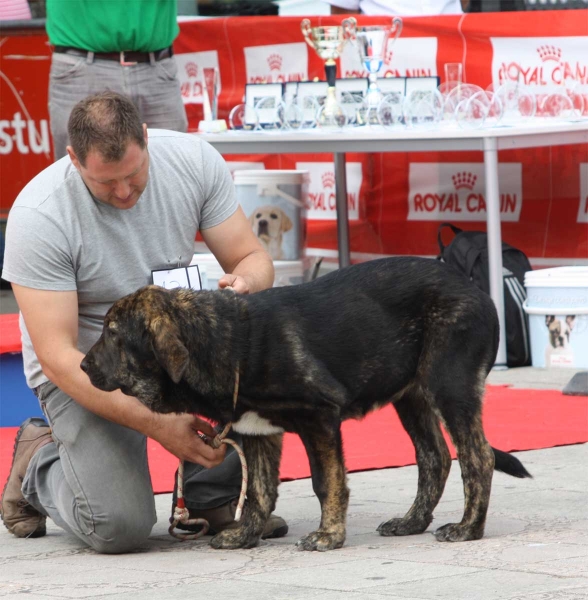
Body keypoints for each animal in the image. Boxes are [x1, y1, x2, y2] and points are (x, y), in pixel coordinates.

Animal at [81, 255, 528, 552]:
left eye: (114, 333)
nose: (82, 365)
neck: (228, 343)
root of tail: (473, 286)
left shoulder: (320, 420)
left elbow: (325, 482)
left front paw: (329, 535)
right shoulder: (256, 433)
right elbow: (258, 491)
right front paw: (246, 534)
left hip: (449, 387)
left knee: (477, 457)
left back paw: (468, 528)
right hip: (412, 397)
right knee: (434, 458)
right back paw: (412, 522)